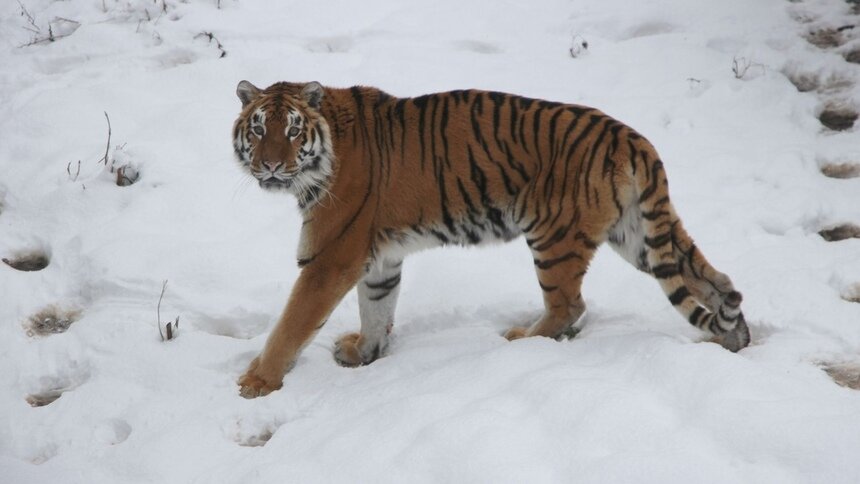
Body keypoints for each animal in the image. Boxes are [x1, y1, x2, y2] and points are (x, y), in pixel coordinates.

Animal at [232, 79, 748, 398]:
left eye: (292, 130)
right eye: (257, 129)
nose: (271, 165)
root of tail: (630, 138)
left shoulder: (331, 256)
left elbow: (292, 324)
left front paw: (257, 382)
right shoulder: (380, 260)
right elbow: (377, 310)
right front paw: (365, 354)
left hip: (553, 237)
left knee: (570, 305)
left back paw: (522, 339)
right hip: (637, 236)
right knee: (714, 280)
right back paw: (736, 337)